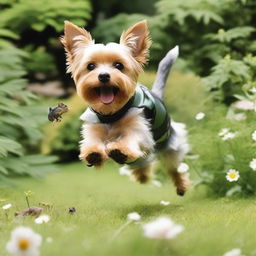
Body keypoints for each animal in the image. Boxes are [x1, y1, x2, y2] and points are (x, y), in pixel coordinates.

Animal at [61, 20, 190, 196]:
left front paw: (119, 149)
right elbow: (92, 141)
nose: (103, 76)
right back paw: (141, 175)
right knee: (143, 163)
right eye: (90, 66)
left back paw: (180, 185)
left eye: (118, 65)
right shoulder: (93, 126)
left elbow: (131, 138)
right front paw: (94, 153)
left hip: (170, 145)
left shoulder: (140, 129)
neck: (111, 113)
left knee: (172, 165)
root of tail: (157, 95)